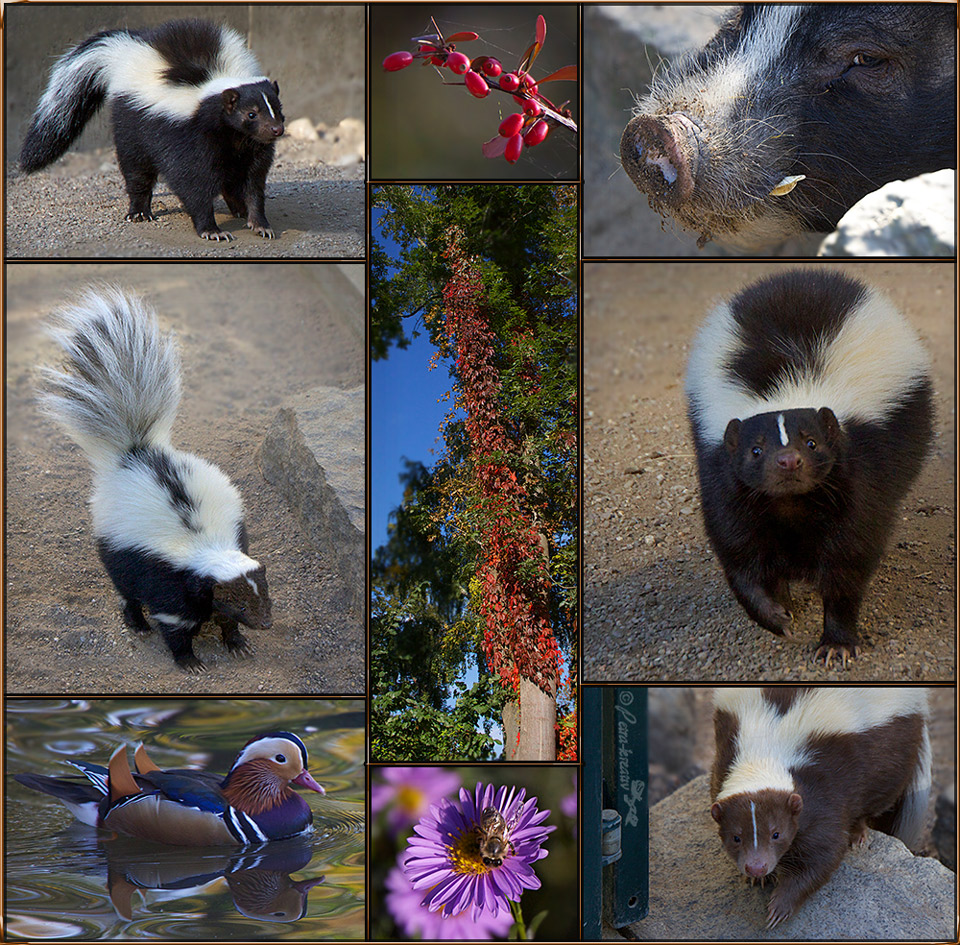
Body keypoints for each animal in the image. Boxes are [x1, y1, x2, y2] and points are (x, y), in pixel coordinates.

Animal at [20, 18, 284, 242]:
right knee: (136, 170)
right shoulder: (189, 137)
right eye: (251, 114)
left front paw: (259, 223)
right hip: (130, 124)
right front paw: (211, 230)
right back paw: (139, 212)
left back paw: (237, 207)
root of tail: (125, 50)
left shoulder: (250, 145)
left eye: (278, 109)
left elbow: (253, 182)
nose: (276, 129)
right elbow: (193, 183)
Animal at [39, 284, 272, 668]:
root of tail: (138, 453)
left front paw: (236, 641)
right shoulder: (167, 579)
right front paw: (189, 660)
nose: (266, 622)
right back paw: (137, 623)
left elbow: (220, 618)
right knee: (126, 591)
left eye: (263, 594)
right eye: (240, 602)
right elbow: (175, 622)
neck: (207, 547)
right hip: (115, 550)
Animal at [688, 266, 932, 664]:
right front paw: (777, 615)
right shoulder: (724, 481)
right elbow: (740, 556)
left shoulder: (857, 479)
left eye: (812, 442)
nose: (788, 461)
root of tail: (800, 275)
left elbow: (848, 559)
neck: (791, 503)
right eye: (756, 450)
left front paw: (837, 641)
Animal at [712, 684, 928, 928]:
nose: (757, 866)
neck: (766, 752)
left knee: (881, 790)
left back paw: (859, 833)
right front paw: (755, 878)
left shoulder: (825, 783)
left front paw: (781, 906)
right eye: (736, 838)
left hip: (893, 746)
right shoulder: (724, 758)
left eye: (777, 834)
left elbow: (824, 853)